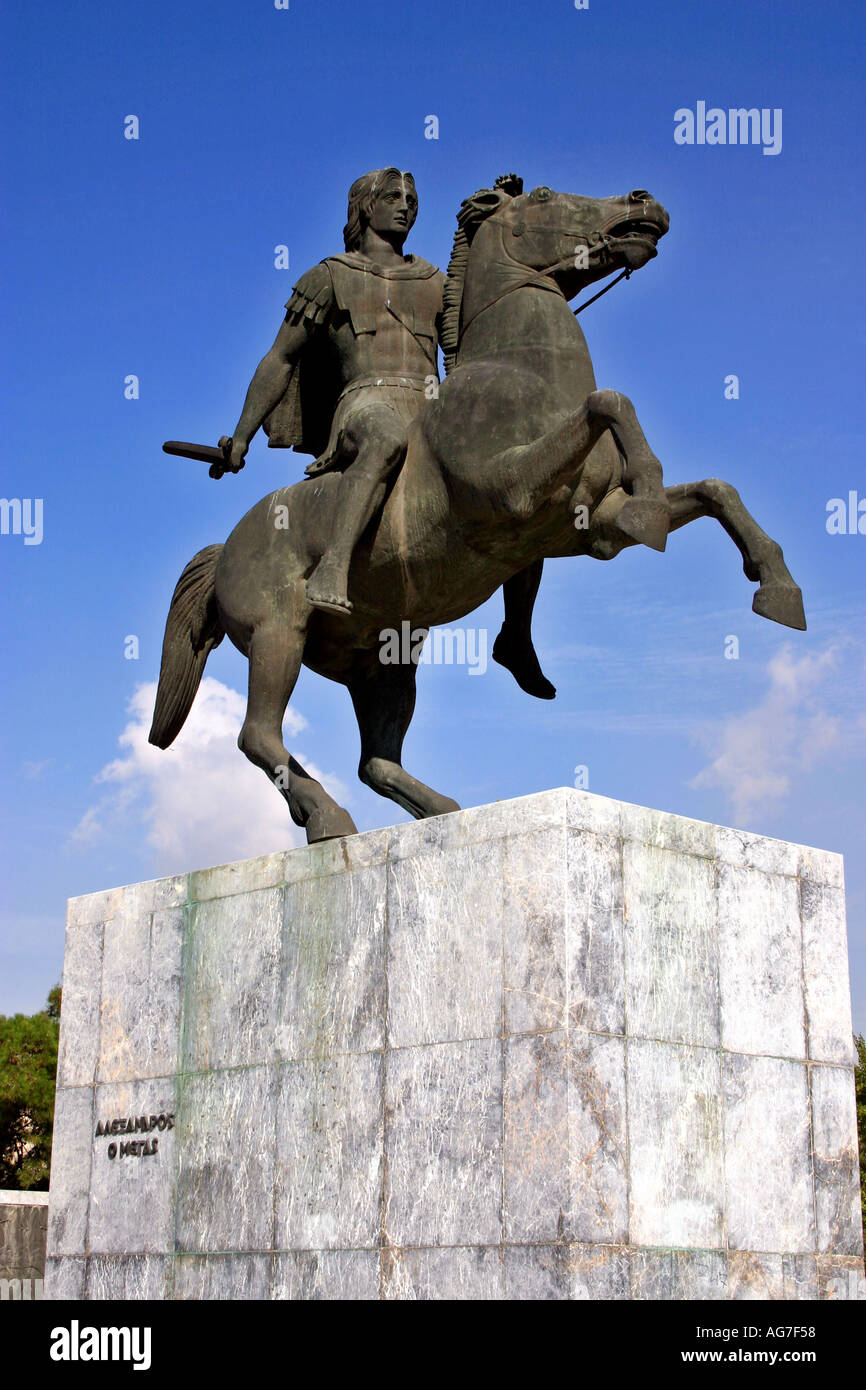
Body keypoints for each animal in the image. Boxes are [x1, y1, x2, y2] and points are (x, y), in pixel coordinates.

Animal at [148, 179, 806, 839]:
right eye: (543, 195)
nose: (643, 203)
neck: (524, 374)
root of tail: (225, 549)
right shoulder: (510, 488)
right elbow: (610, 401)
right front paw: (651, 497)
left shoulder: (588, 527)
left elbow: (715, 489)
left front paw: (776, 587)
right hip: (278, 630)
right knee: (258, 734)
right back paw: (329, 814)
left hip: (383, 659)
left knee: (375, 761)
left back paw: (435, 808)